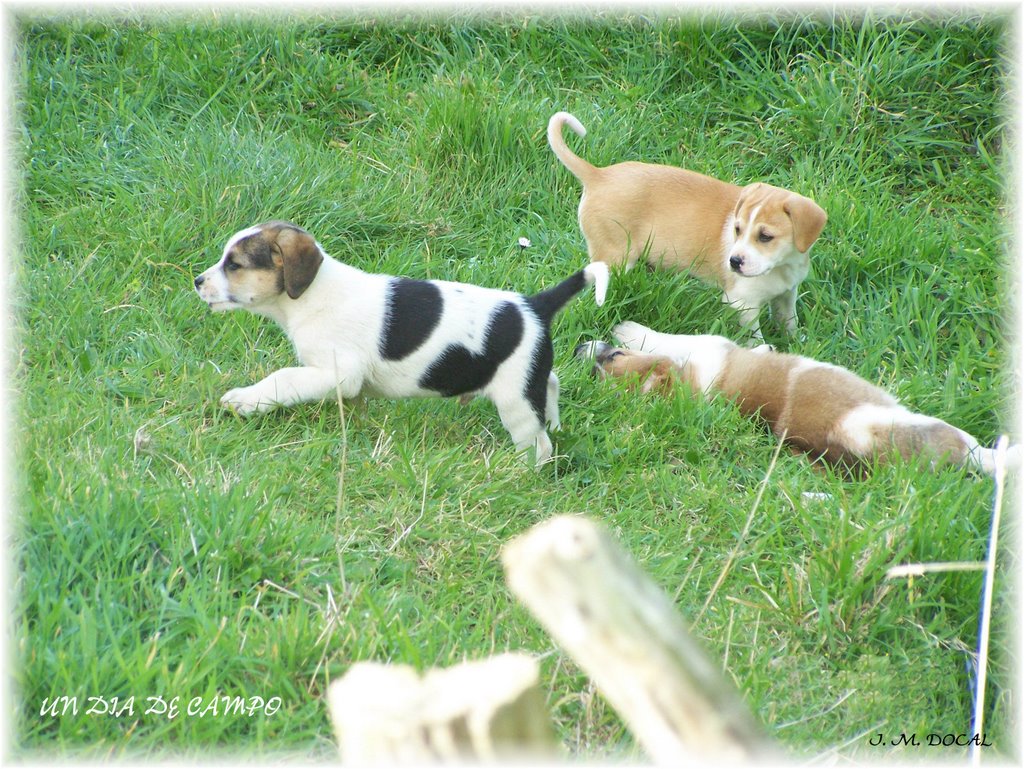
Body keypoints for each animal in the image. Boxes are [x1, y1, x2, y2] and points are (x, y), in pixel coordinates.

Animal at [193, 219, 606, 466]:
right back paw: (555, 424)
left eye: (235, 265)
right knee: (551, 385)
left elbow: (283, 378)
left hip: (514, 400)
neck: (312, 294)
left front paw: (245, 400)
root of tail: (535, 306)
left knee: (538, 445)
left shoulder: (338, 373)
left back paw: (521, 471)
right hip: (529, 380)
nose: (197, 281)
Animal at [548, 109, 827, 337]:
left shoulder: (787, 295)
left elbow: (789, 323)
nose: (734, 262)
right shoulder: (742, 303)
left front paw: (796, 343)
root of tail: (599, 175)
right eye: (737, 230)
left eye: (765, 236)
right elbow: (753, 337)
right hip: (614, 257)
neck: (781, 267)